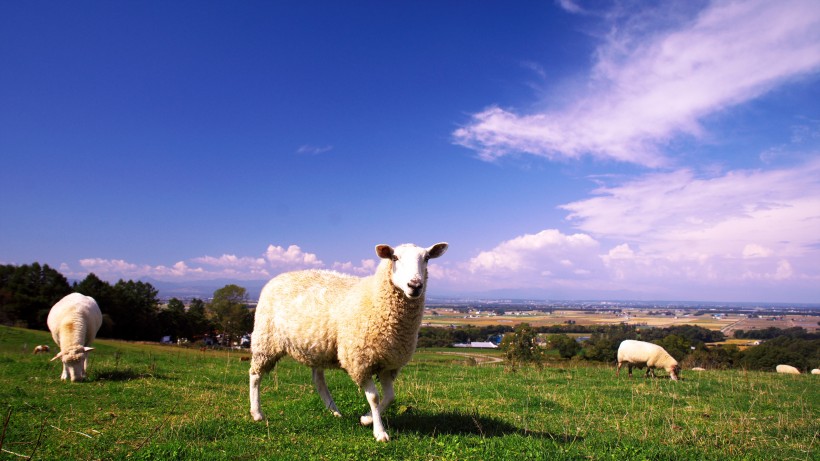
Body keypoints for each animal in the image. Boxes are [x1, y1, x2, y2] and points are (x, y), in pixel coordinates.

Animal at [248, 243, 448, 440]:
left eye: (427, 258)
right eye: (394, 258)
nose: (415, 285)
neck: (375, 299)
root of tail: (277, 277)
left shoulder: (387, 363)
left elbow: (390, 397)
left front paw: (366, 419)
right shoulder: (360, 361)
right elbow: (374, 397)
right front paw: (379, 432)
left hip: (317, 347)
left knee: (318, 381)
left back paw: (334, 411)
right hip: (265, 340)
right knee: (255, 374)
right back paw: (257, 413)